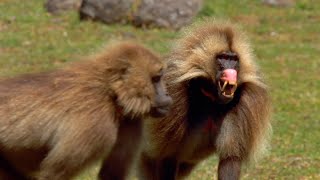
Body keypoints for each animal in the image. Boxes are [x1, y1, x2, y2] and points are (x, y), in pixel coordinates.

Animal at [0, 41, 172, 179]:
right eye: (156, 79)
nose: (167, 96)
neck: (109, 93)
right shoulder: (96, 126)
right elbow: (52, 175)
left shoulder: (131, 122)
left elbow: (111, 175)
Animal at [139, 20, 272, 179]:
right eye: (223, 58)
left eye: (234, 59)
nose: (231, 70)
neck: (212, 100)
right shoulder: (174, 94)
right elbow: (168, 155)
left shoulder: (245, 103)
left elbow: (230, 160)